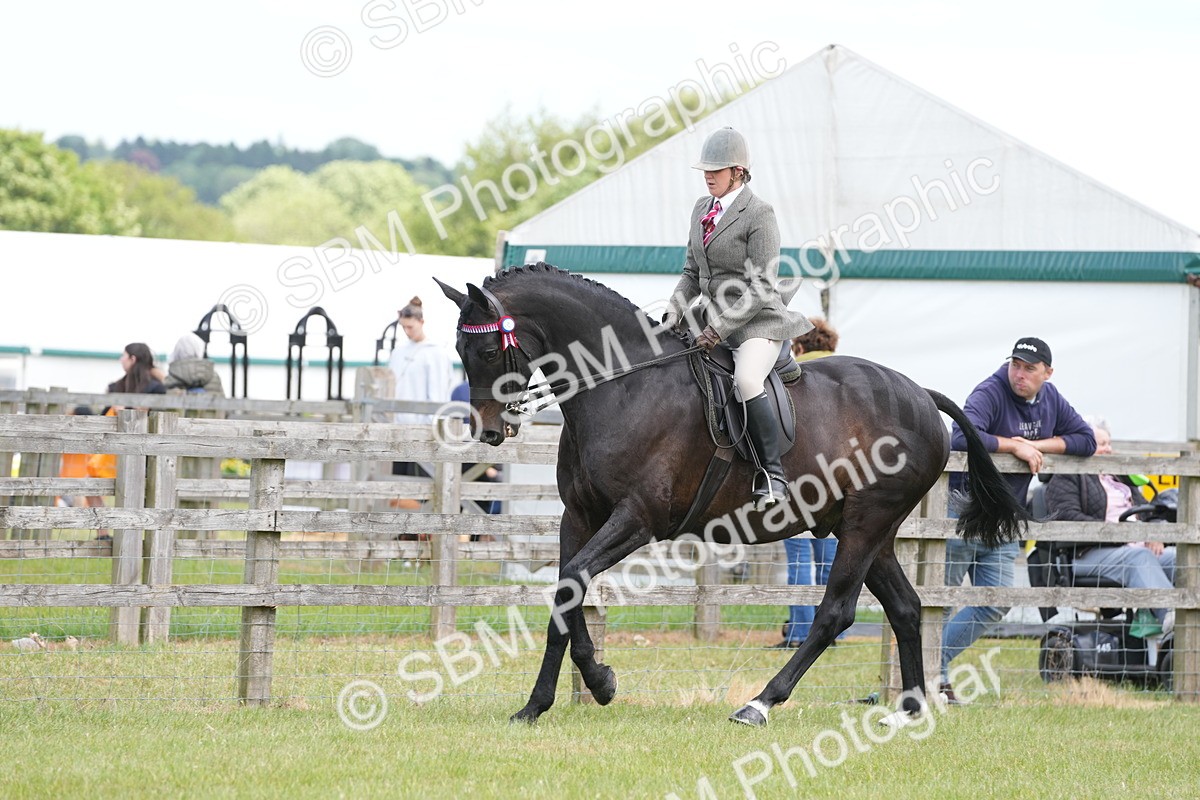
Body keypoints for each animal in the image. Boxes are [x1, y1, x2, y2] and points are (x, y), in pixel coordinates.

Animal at [435, 263, 1026, 726]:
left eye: (487, 348)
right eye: (459, 349)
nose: (489, 432)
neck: (621, 384)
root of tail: (921, 395)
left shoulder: (637, 519)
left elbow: (572, 581)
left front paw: (590, 685)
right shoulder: (579, 518)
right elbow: (565, 591)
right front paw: (556, 697)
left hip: (866, 525)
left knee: (836, 612)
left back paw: (759, 704)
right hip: (864, 530)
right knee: (905, 608)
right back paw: (909, 711)